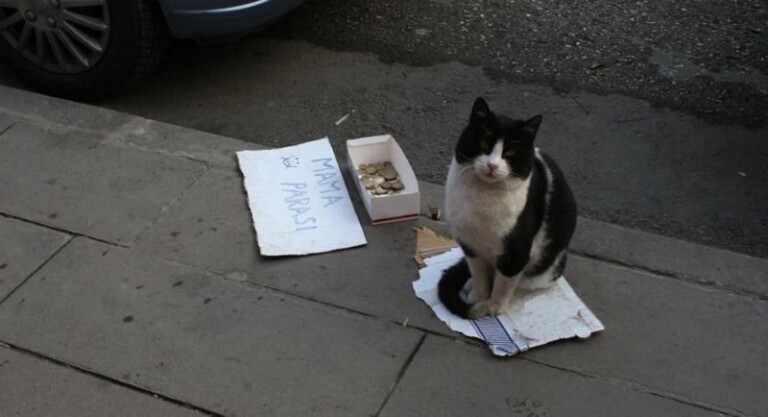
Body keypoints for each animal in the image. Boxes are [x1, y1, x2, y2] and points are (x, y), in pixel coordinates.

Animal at [438, 97, 577, 319]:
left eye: (510, 151)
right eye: (484, 143)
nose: (492, 165)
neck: (483, 198)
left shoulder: (515, 253)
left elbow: (504, 284)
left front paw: (494, 308)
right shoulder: (470, 244)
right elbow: (479, 275)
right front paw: (477, 298)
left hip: (546, 268)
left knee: (525, 281)